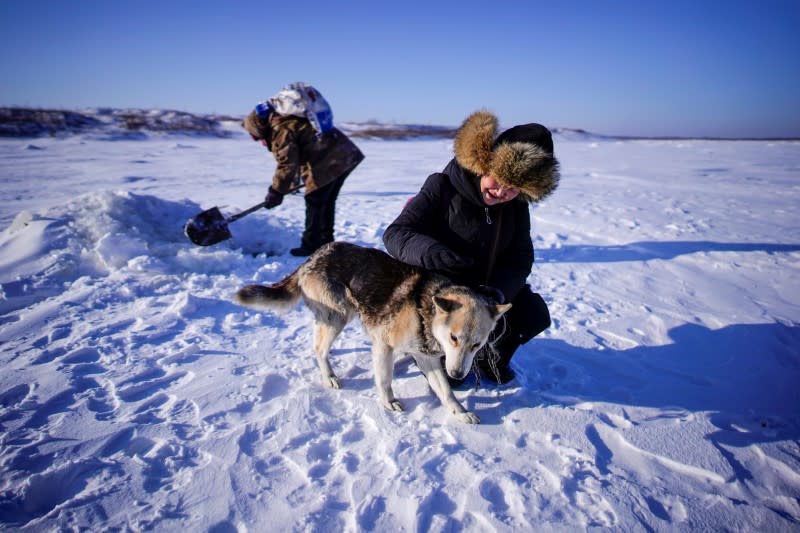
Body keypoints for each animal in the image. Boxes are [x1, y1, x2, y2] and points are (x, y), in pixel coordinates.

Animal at [238, 239, 510, 422]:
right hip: (339, 316)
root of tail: (314, 256)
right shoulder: (384, 345)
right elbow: (384, 379)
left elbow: (446, 391)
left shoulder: (427, 358)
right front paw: (388, 403)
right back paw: (329, 377)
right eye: (454, 338)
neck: (425, 312)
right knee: (318, 349)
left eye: (476, 345)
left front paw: (460, 412)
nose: (457, 373)